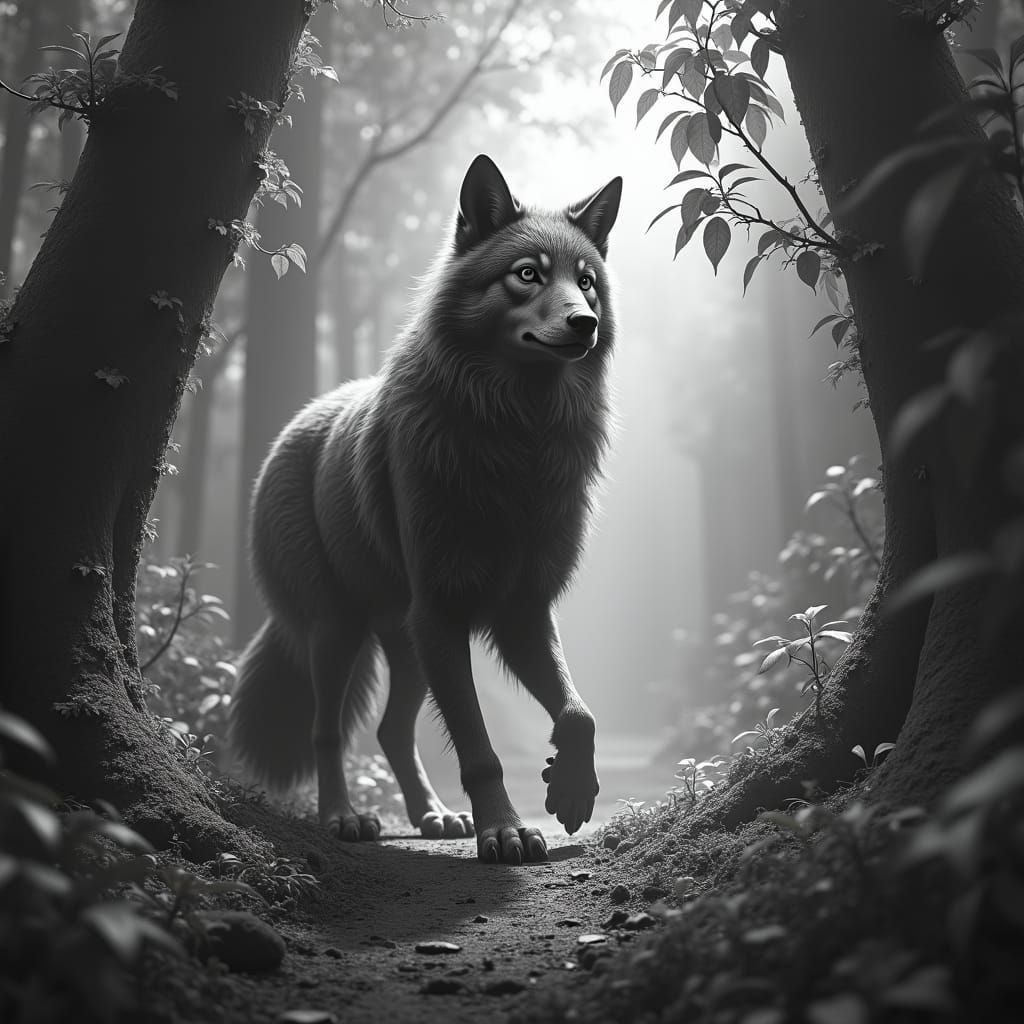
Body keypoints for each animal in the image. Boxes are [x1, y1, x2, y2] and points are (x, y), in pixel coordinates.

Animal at [229, 154, 622, 864]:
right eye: (528, 274)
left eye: (587, 283)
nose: (586, 323)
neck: (516, 440)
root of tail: (299, 421)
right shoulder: (442, 610)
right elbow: (478, 747)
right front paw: (505, 831)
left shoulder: (521, 612)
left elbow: (580, 714)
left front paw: (570, 793)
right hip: (339, 632)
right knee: (328, 730)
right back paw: (344, 818)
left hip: (407, 644)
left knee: (390, 730)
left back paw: (434, 815)